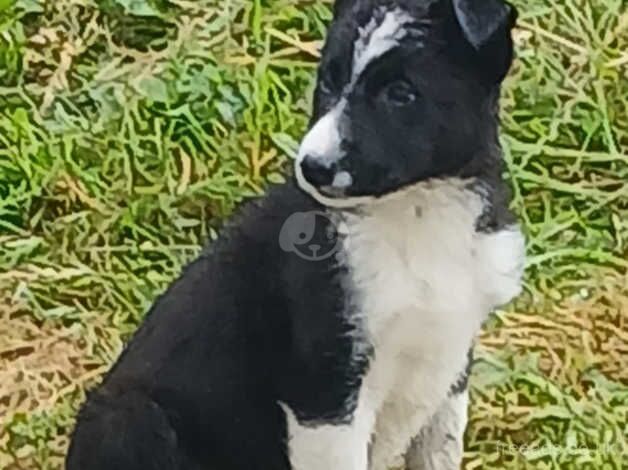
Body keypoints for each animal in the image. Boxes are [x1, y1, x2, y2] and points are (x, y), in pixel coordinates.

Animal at [66, 0, 524, 470]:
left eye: (401, 93)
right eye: (329, 79)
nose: (313, 168)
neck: (415, 214)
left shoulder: (451, 359)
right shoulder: (327, 387)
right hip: (134, 420)